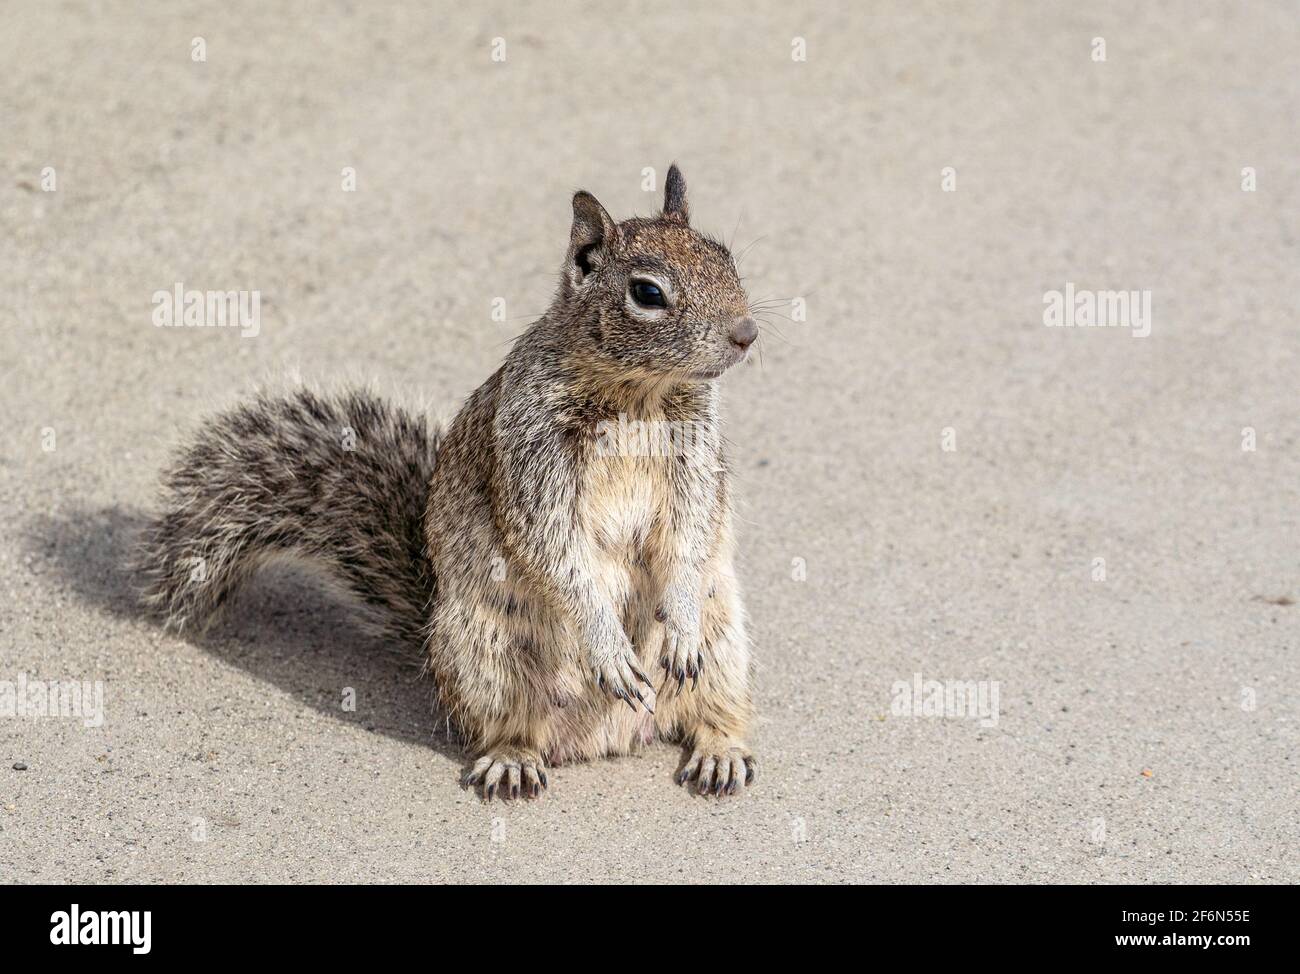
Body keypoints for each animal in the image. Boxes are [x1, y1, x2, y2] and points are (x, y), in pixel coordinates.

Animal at [136, 165, 759, 801]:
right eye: (647, 293)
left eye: (725, 256)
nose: (746, 333)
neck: (640, 395)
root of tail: (610, 739)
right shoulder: (529, 453)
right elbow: (556, 549)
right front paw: (606, 643)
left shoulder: (696, 460)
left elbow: (690, 533)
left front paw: (678, 616)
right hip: (488, 655)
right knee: (512, 727)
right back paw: (513, 758)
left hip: (723, 642)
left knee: (711, 707)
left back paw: (719, 750)